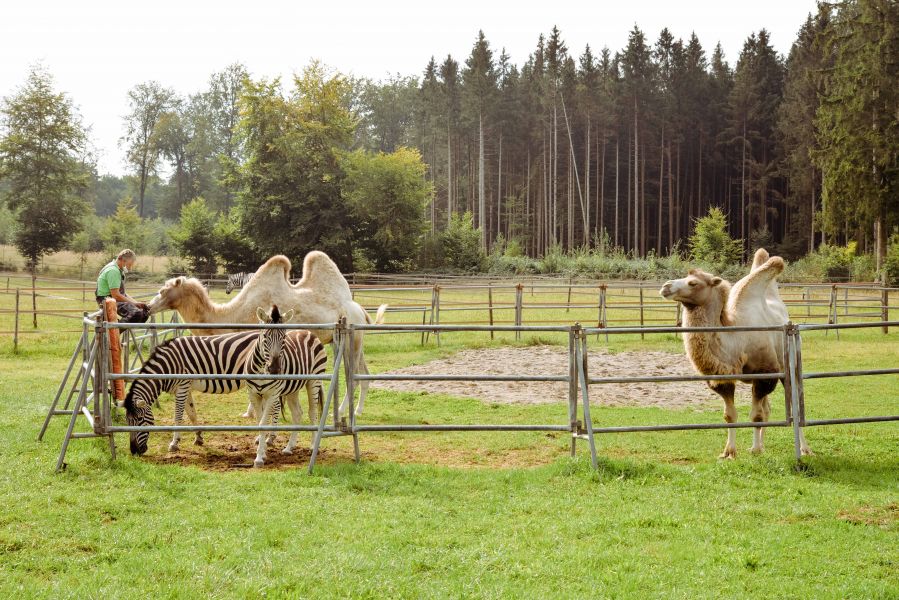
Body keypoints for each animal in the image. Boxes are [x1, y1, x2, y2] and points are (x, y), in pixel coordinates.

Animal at [123, 312, 326, 462]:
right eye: (127, 422)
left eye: (139, 421)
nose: (134, 452)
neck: (168, 365)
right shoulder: (185, 388)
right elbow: (192, 413)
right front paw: (198, 437)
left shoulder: (182, 386)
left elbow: (178, 416)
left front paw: (174, 443)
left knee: (278, 408)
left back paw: (270, 438)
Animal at [149, 250, 386, 418]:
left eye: (163, 290)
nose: (148, 307)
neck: (233, 315)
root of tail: (360, 309)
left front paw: (252, 411)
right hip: (351, 339)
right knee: (362, 373)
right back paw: (358, 410)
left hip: (350, 338)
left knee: (352, 376)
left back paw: (342, 411)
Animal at [660, 248, 816, 460]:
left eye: (693, 283)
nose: (666, 286)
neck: (736, 338)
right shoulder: (723, 378)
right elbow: (730, 415)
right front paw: (729, 452)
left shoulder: (765, 375)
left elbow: (756, 415)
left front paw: (755, 449)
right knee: (767, 408)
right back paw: (761, 446)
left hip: (789, 367)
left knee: (794, 404)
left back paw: (804, 449)